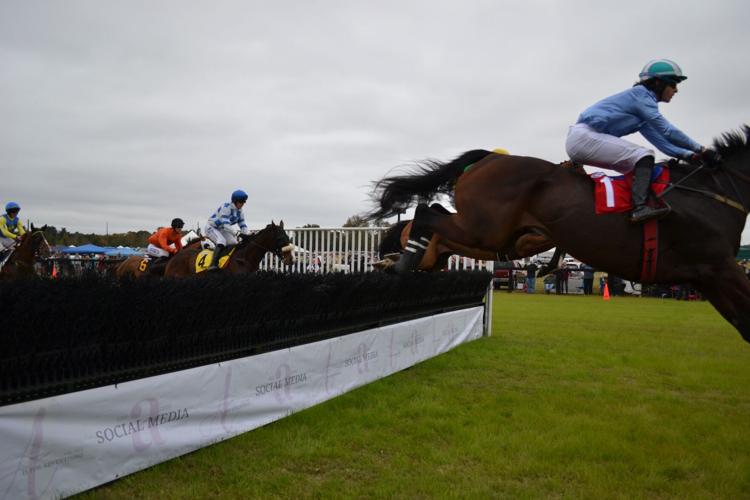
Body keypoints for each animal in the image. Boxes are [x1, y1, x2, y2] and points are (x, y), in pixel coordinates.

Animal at [370, 126, 750, 344]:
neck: (711, 192)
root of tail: (488, 158)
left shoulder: (709, 276)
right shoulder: (718, 268)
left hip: (479, 236)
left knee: (432, 221)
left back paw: (400, 258)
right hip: (482, 230)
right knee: (424, 212)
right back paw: (399, 261)